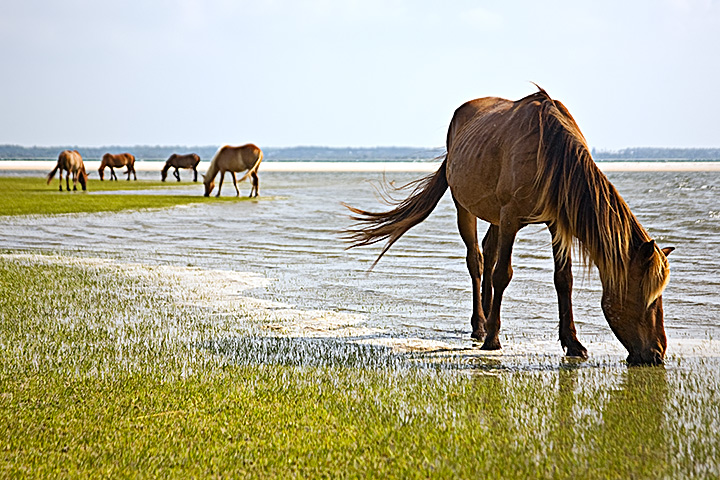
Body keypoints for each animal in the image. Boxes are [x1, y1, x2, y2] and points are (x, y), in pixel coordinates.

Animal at [346, 87, 672, 364]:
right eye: (647, 297)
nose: (656, 353)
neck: (551, 154)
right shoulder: (511, 217)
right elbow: (502, 274)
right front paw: (492, 339)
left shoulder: (557, 224)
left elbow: (563, 280)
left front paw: (573, 343)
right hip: (467, 208)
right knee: (477, 261)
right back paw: (480, 325)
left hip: (494, 216)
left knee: (488, 252)